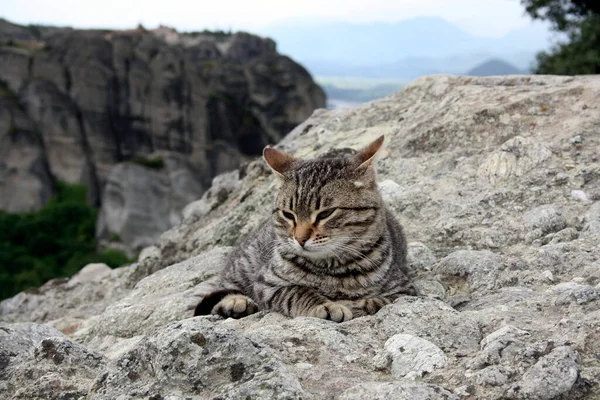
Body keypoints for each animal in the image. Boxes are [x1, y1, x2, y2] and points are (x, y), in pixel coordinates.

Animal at [195, 136, 414, 324]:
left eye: (326, 213)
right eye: (288, 214)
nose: (300, 238)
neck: (330, 269)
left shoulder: (404, 291)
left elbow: (374, 302)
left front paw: (353, 304)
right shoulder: (267, 283)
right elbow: (297, 292)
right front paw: (326, 306)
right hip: (244, 264)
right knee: (222, 288)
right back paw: (235, 301)